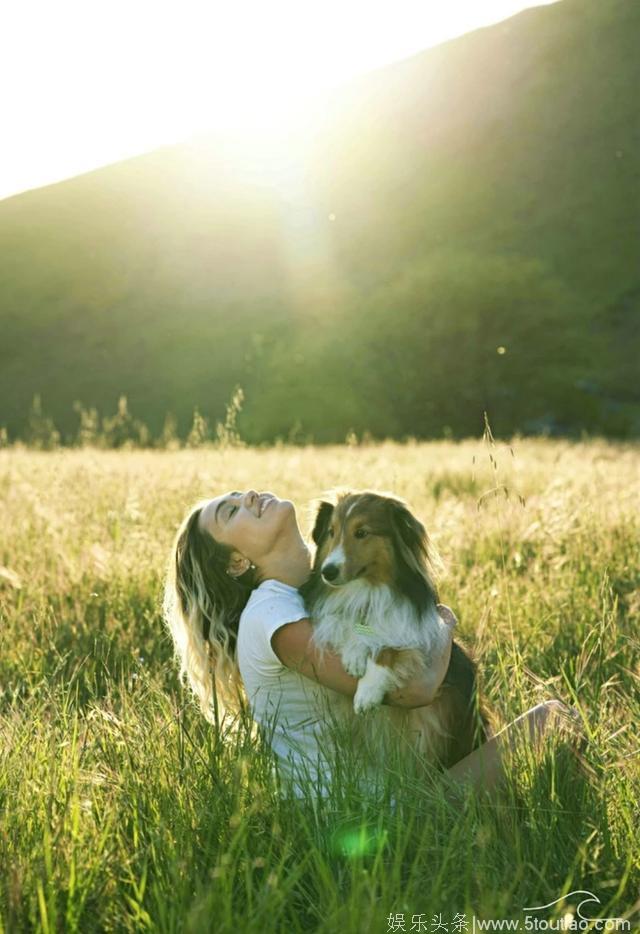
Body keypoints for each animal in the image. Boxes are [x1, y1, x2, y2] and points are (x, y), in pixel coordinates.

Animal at [302, 494, 490, 772]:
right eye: (331, 532)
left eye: (362, 532)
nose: (328, 572)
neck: (367, 590)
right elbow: (343, 623)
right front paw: (355, 653)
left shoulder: (422, 637)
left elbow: (389, 647)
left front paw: (367, 692)